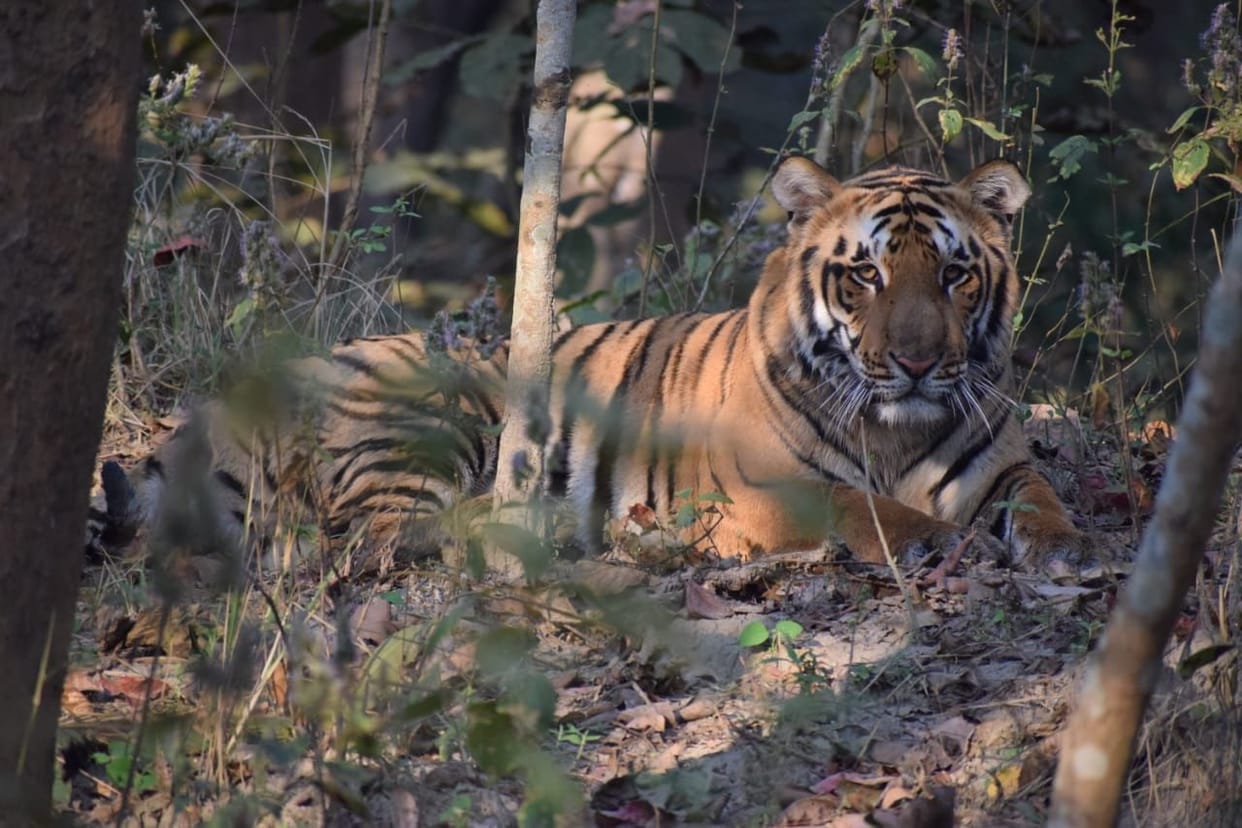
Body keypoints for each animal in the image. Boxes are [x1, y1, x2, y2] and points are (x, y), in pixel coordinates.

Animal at [94, 155, 1090, 570]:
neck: (897, 428)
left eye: (955, 274)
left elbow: (1042, 497)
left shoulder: (999, 463)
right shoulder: (760, 488)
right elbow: (862, 506)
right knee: (365, 539)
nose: (919, 364)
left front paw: (1064, 550)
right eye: (865, 275)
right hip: (431, 423)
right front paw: (933, 540)